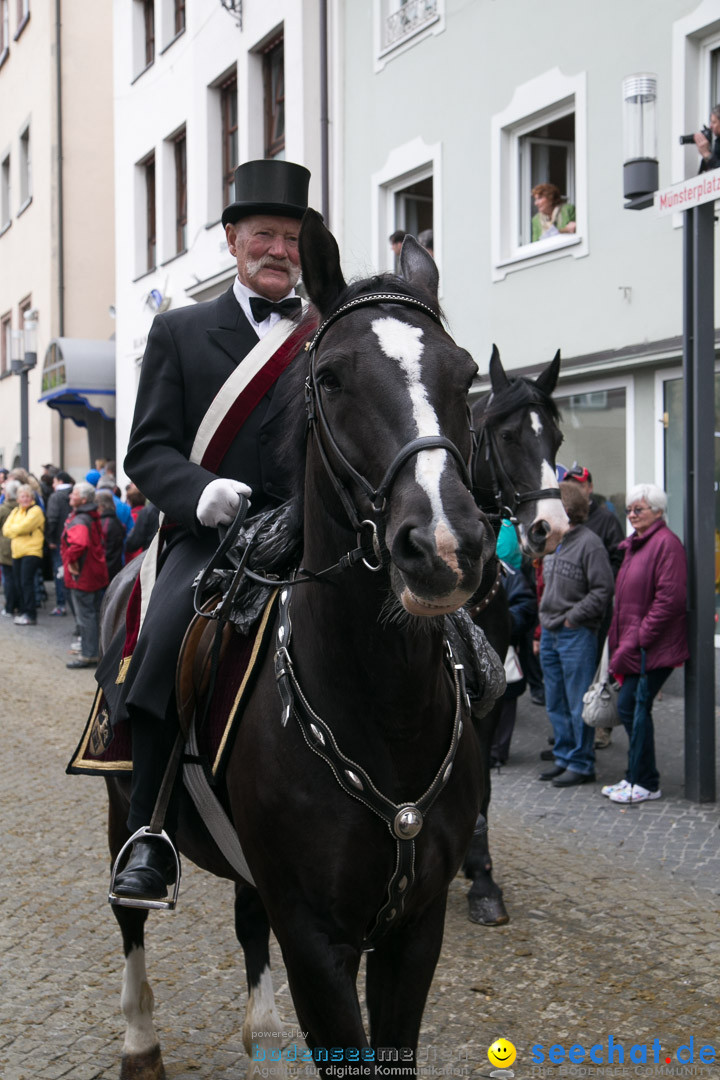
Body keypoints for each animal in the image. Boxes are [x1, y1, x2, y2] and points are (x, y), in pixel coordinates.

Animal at [105, 210, 500, 1080]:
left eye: (463, 378)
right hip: (120, 806)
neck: (383, 712)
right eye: (331, 379)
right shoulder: (318, 942)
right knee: (131, 919)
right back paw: (140, 1039)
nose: (445, 548)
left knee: (248, 918)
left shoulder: (413, 931)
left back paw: (262, 1035)